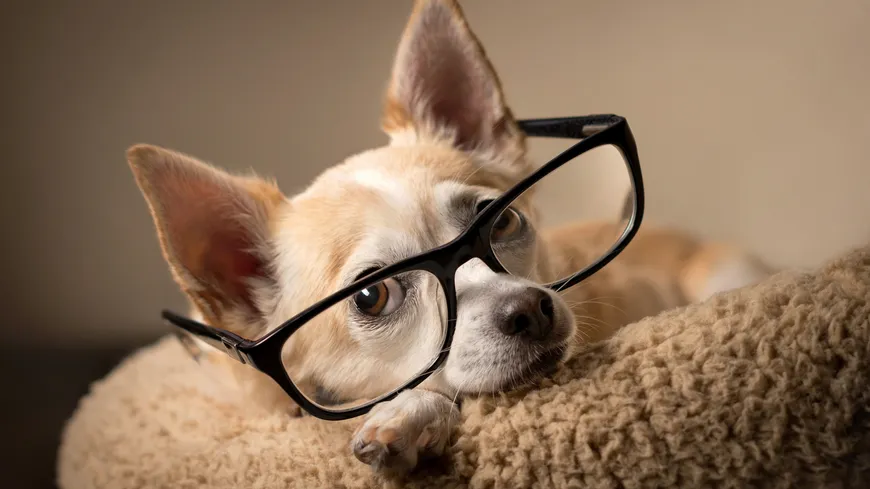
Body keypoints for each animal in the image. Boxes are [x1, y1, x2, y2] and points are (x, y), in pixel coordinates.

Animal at [127, 0, 768, 474]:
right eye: (372, 296)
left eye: (501, 220)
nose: (529, 308)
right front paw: (410, 411)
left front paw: (411, 414)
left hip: (728, 270)